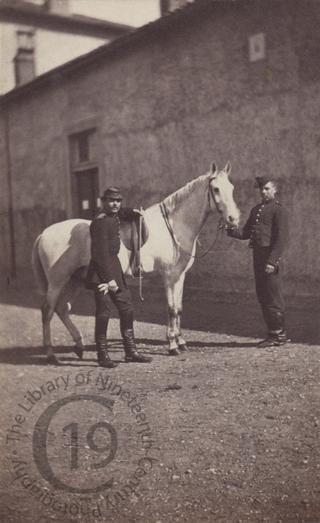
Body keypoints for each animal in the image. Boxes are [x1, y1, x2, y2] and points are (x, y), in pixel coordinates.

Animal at [32, 163, 239, 364]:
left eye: (232, 188)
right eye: (216, 189)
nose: (233, 219)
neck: (174, 226)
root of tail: (43, 233)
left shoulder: (180, 276)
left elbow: (179, 309)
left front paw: (181, 342)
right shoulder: (169, 276)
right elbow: (171, 309)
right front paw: (172, 345)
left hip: (74, 280)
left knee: (62, 308)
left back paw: (79, 345)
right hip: (57, 281)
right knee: (48, 310)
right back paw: (51, 354)